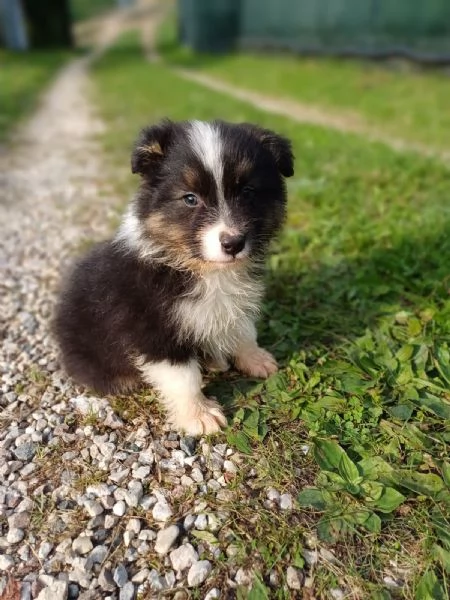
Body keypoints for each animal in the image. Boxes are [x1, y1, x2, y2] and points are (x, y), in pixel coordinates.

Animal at [53, 118, 296, 436]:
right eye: (190, 199)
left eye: (248, 192)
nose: (233, 243)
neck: (203, 270)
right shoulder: (152, 327)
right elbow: (184, 377)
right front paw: (199, 415)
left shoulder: (232, 302)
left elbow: (243, 329)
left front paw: (254, 358)